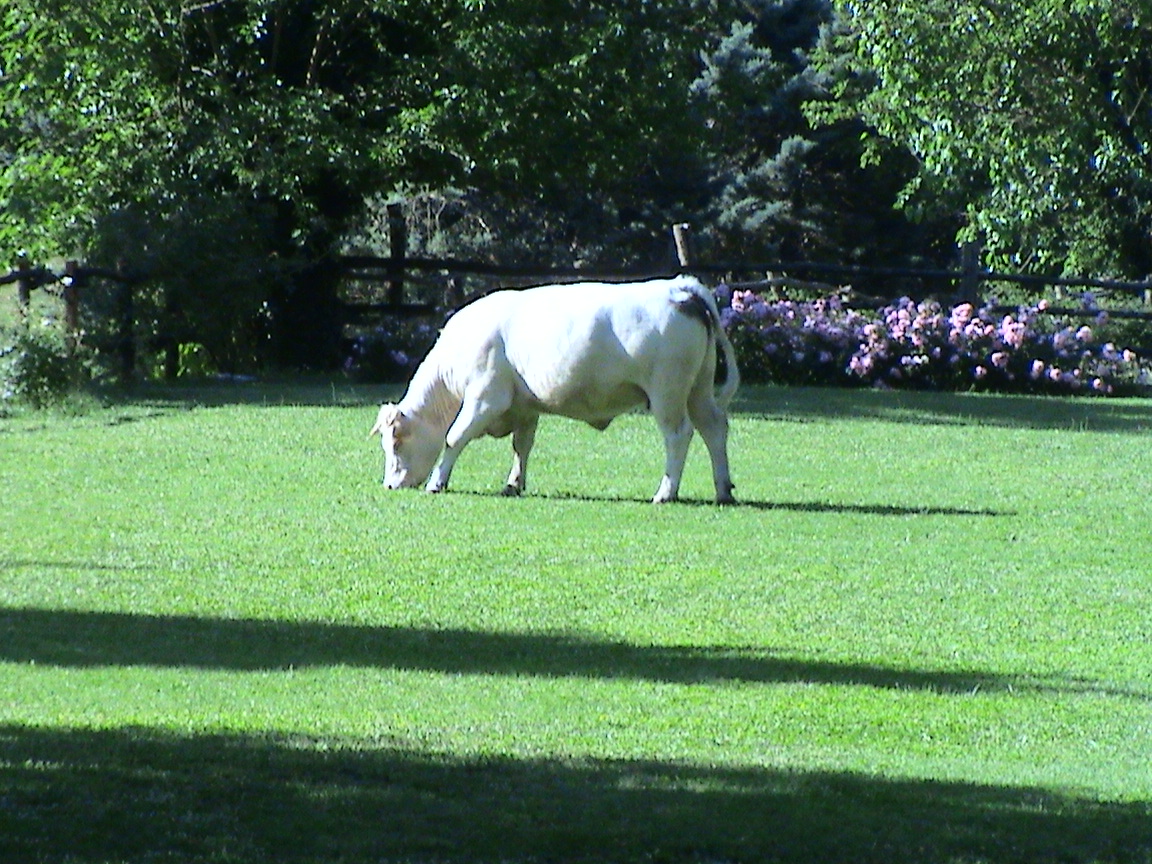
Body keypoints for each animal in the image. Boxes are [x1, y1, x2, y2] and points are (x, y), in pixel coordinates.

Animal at [373, 277, 741, 504]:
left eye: (396, 441)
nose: (389, 485)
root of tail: (680, 287)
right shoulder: (524, 406)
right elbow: (522, 446)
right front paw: (513, 484)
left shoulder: (486, 398)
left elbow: (454, 437)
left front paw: (437, 482)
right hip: (698, 389)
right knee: (714, 428)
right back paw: (723, 490)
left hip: (667, 392)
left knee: (679, 435)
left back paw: (665, 492)